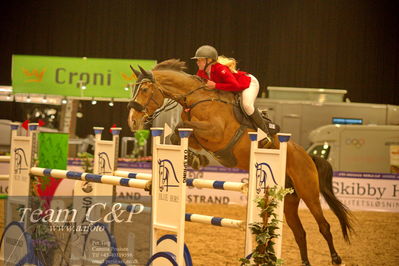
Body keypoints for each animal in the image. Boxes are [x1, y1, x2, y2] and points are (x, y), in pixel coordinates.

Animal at [127, 59, 354, 264]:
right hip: (288, 199)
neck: (197, 98)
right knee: (300, 232)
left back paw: (336, 258)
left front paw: (195, 159)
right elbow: (179, 134)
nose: (132, 121)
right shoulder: (200, 136)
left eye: (145, 89)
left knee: (323, 226)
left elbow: (181, 125)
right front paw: (194, 160)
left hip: (308, 191)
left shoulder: (215, 133)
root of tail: (308, 156)